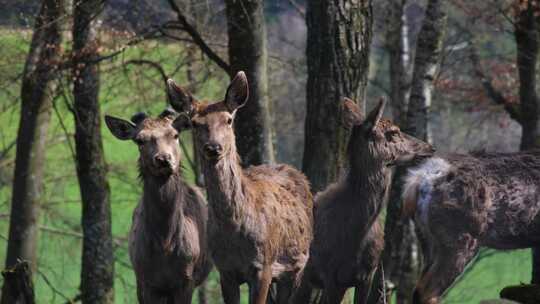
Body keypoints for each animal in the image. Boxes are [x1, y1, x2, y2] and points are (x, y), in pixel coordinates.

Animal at [103, 110, 211, 304]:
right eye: (140, 140)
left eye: (175, 135)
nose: (163, 159)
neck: (164, 245)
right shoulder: (145, 280)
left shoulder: (187, 279)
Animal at [167, 72, 314, 304]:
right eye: (195, 123)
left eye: (228, 120)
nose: (213, 147)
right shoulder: (225, 269)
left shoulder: (263, 265)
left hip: (296, 264)